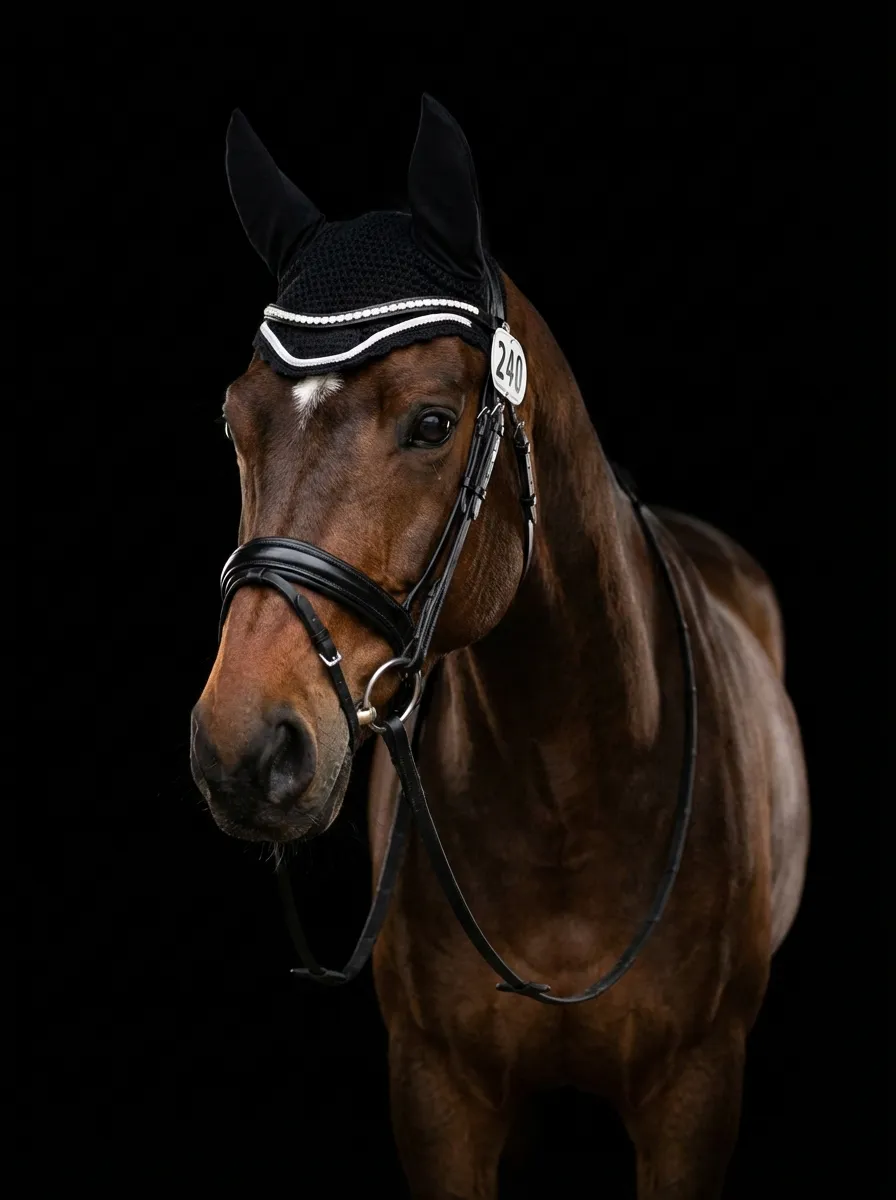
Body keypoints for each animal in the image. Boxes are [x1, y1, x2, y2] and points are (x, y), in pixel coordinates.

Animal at [190, 95, 809, 1199]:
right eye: (234, 422)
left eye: (433, 423)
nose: (242, 747)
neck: (566, 784)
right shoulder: (439, 1095)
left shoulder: (695, 1096)